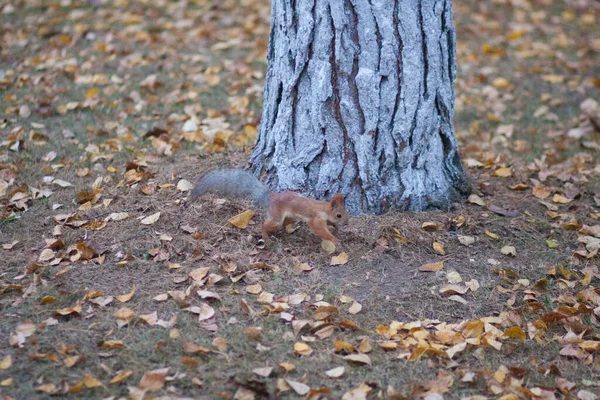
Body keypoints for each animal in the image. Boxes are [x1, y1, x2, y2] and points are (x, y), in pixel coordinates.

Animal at [186, 169, 346, 244]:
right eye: (339, 214)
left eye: (346, 212)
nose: (347, 222)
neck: (323, 208)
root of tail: (269, 198)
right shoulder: (316, 219)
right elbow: (320, 230)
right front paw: (334, 239)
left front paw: (336, 228)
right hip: (277, 218)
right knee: (264, 225)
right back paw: (266, 238)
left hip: (288, 219)